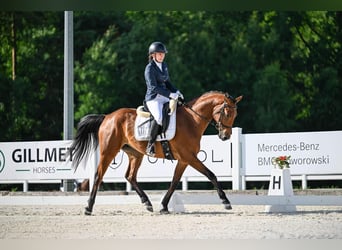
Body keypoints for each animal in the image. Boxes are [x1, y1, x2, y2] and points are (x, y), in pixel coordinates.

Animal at [69, 91, 242, 216]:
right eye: (227, 114)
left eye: (235, 115)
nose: (225, 136)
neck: (192, 120)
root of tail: (107, 117)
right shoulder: (189, 157)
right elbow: (211, 174)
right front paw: (226, 201)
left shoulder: (184, 160)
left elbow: (174, 182)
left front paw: (164, 206)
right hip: (108, 152)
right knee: (98, 176)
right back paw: (88, 208)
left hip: (135, 154)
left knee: (130, 176)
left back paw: (147, 203)